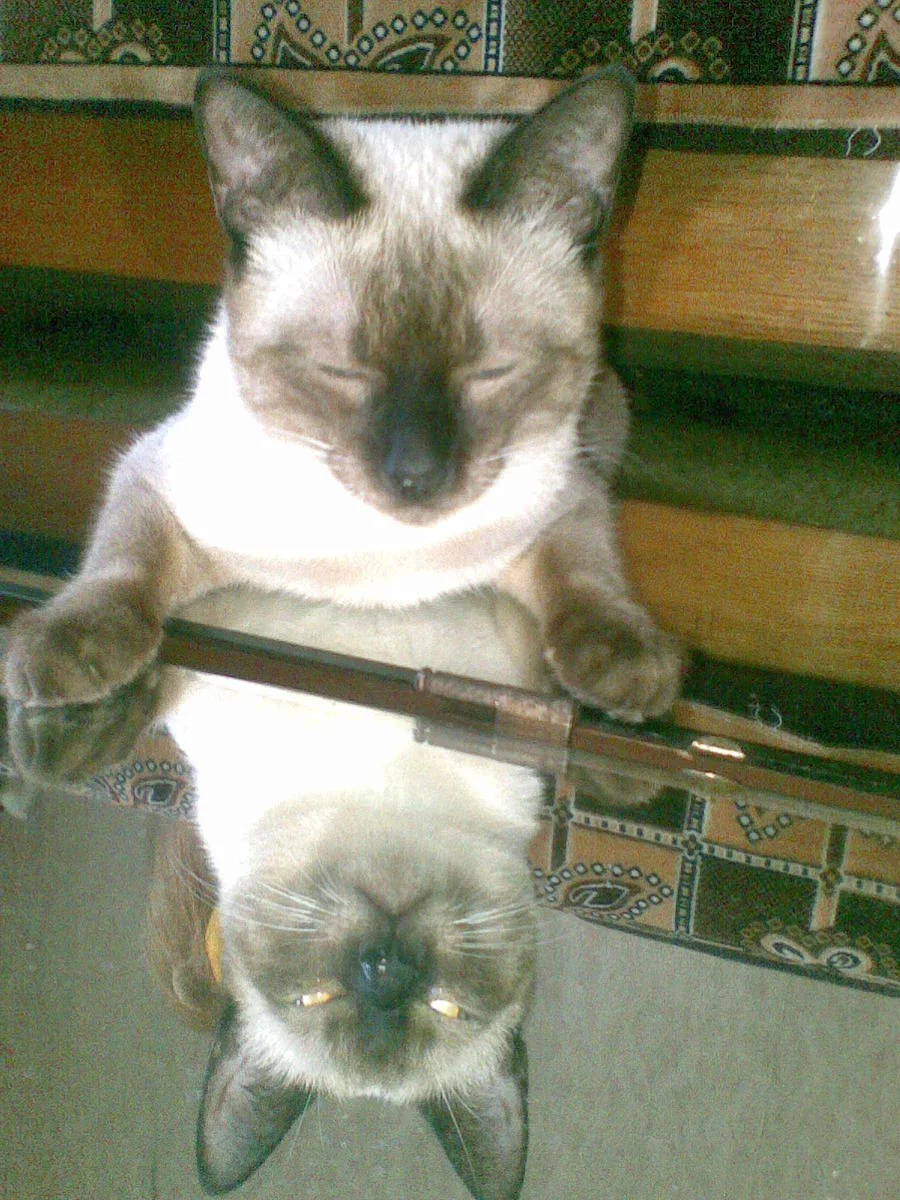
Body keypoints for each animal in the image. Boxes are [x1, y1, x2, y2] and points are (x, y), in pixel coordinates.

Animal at [3, 67, 682, 723]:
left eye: (491, 371)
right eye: (341, 371)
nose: (416, 475)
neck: (375, 556)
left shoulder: (571, 501)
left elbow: (588, 579)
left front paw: (629, 667)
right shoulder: (147, 474)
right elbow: (120, 564)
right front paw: (63, 646)